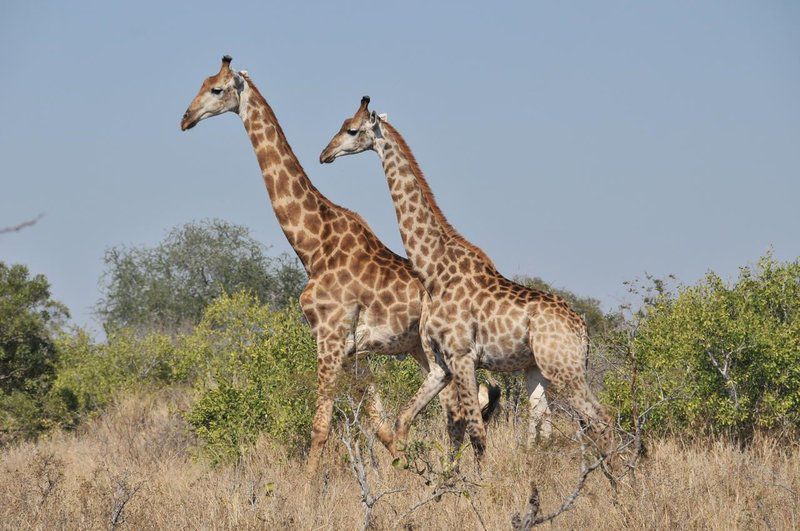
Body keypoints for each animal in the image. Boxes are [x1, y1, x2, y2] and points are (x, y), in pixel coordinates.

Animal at [181, 59, 494, 474]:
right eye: (202, 83)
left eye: (216, 89)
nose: (186, 118)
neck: (313, 244)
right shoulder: (353, 351)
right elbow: (380, 426)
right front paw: (406, 475)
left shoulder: (329, 338)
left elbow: (321, 426)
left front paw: (306, 491)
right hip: (421, 350)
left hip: (438, 350)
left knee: (466, 406)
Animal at [320, 96, 612, 462]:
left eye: (352, 129)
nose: (325, 153)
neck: (432, 270)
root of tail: (583, 329)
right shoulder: (441, 364)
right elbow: (406, 420)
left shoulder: (462, 357)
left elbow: (477, 432)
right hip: (537, 371)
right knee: (544, 432)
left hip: (565, 369)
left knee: (601, 419)